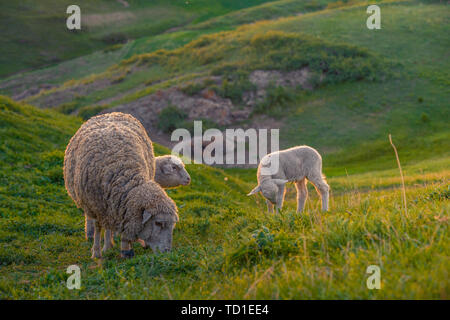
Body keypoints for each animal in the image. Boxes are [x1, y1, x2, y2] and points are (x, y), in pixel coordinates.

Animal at [63, 111, 179, 258]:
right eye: (158, 223)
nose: (167, 252)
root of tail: (111, 113)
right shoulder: (95, 205)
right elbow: (97, 227)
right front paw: (96, 252)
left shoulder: (123, 208)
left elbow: (124, 226)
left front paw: (125, 250)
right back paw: (98, 242)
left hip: (110, 207)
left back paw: (109, 244)